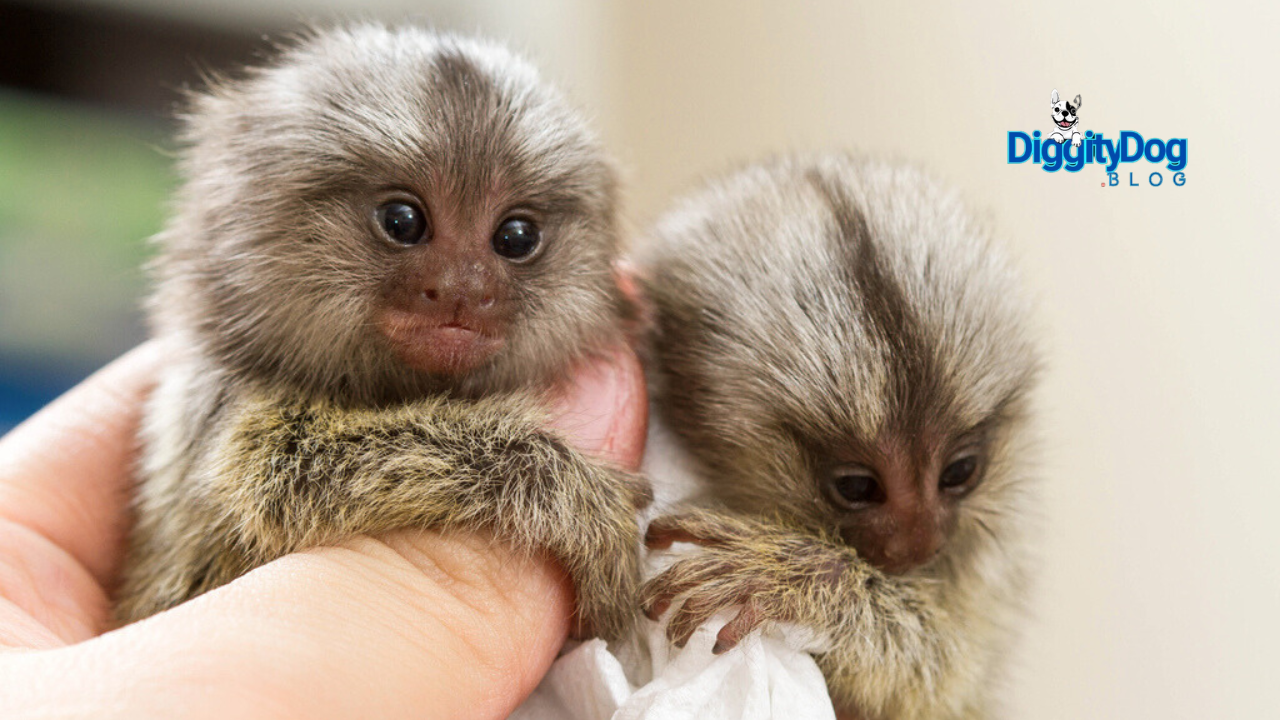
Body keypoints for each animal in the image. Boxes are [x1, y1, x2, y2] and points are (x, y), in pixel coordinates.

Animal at [113, 24, 647, 643]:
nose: (463, 289)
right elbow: (282, 477)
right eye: (402, 221)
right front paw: (574, 493)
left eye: (515, 237)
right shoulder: (224, 405)